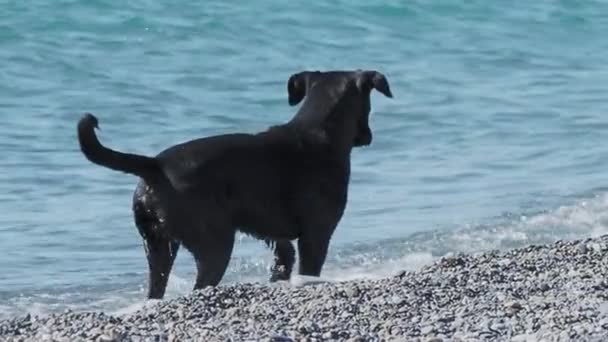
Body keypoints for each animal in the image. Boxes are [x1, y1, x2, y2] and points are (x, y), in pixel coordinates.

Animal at [78, 69, 392, 300]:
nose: (368, 137)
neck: (319, 131)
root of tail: (155, 165)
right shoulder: (316, 234)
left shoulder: (276, 236)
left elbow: (284, 257)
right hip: (213, 243)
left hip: (156, 244)